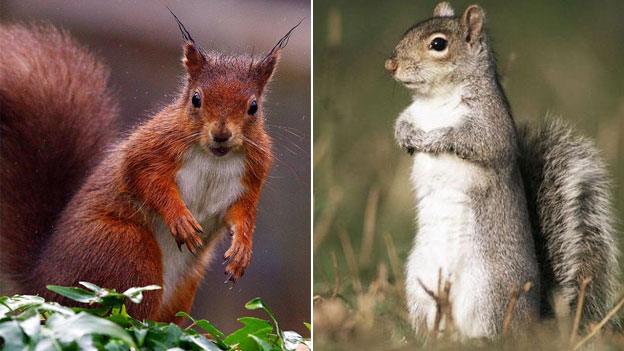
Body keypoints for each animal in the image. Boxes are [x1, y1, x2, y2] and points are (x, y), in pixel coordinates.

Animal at [0, 15, 298, 324]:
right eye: (196, 99)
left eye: (253, 107)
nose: (221, 134)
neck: (214, 158)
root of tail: (41, 282)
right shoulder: (150, 150)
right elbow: (147, 180)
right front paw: (180, 219)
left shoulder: (252, 176)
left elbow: (243, 213)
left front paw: (242, 249)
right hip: (128, 254)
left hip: (183, 287)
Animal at [386, 1, 620, 340]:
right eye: (409, 30)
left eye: (438, 44)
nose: (391, 64)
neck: (435, 102)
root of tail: (535, 322)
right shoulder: (413, 113)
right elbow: (402, 123)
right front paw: (407, 137)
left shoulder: (491, 126)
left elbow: (477, 142)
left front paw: (435, 139)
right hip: (420, 285)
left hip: (490, 291)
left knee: (493, 328)